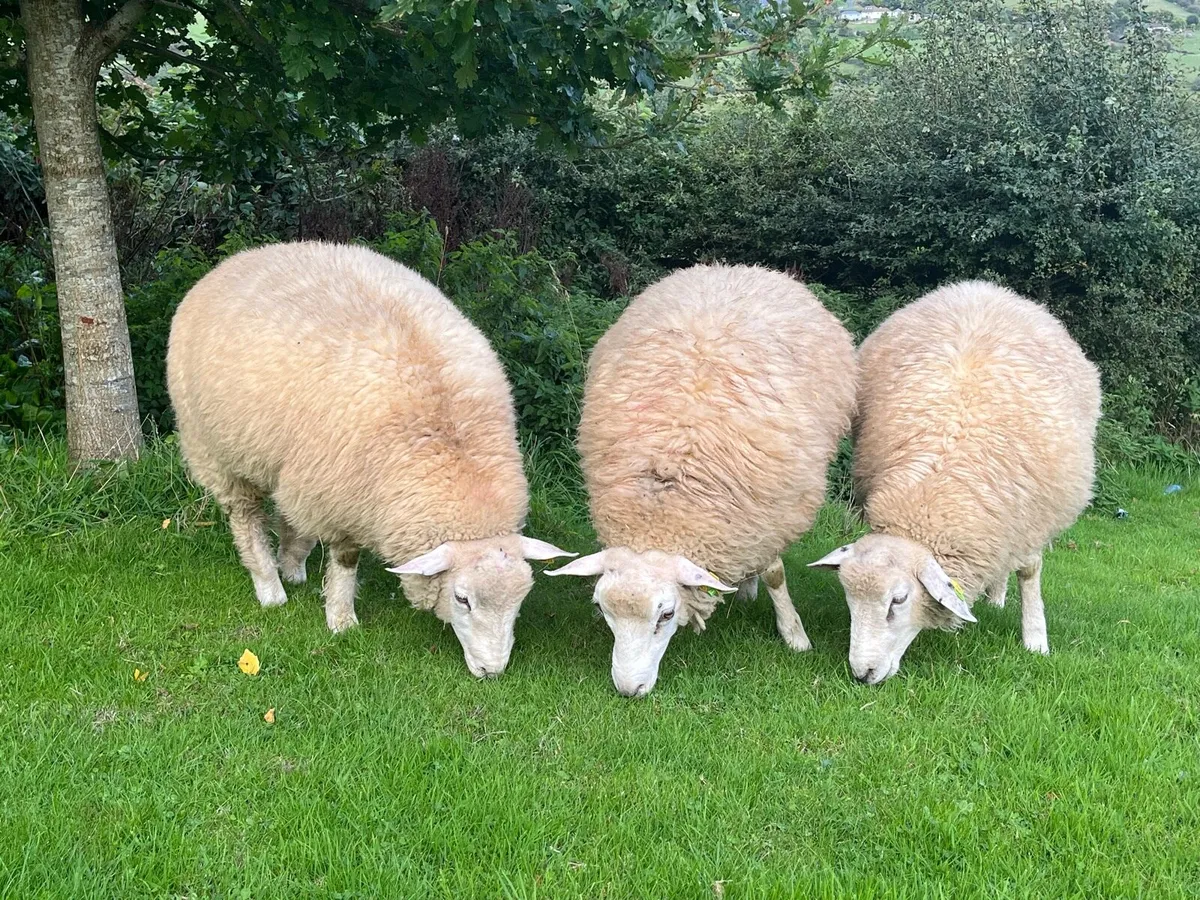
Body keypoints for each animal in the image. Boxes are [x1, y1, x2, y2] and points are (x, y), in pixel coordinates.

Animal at [166, 241, 573, 677]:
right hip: (216, 450)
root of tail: (244, 257)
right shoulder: (343, 497)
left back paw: (290, 566)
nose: (492, 671)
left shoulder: (328, 485)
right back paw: (269, 586)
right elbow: (345, 560)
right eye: (462, 599)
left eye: (520, 601)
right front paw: (341, 620)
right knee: (245, 518)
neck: (449, 445)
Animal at [547, 264, 858, 697]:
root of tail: (732, 268)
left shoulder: (770, 504)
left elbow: (776, 574)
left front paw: (794, 635)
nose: (628, 689)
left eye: (666, 615)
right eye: (602, 609)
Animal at [808, 280, 1101, 684]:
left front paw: (1036, 640)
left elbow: (1029, 573)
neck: (935, 494)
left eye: (898, 600)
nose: (862, 673)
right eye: (849, 598)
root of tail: (982, 288)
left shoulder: (1030, 516)